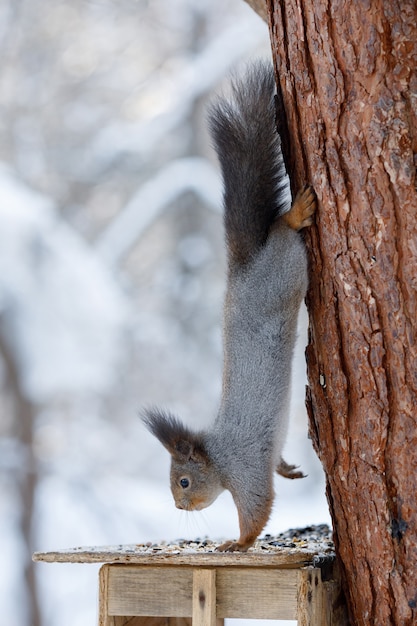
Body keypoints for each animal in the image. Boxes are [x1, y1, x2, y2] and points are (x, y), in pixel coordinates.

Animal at [141, 61, 314, 548]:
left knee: (282, 230)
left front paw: (236, 543)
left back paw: (296, 213)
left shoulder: (244, 468)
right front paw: (289, 469)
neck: (217, 456)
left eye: (182, 481)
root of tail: (242, 268)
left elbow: (257, 508)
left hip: (282, 272)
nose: (179, 507)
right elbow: (277, 463)